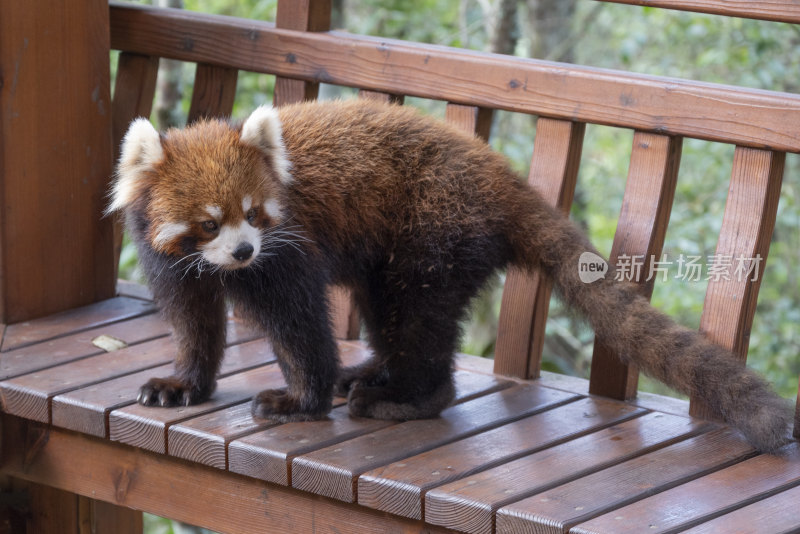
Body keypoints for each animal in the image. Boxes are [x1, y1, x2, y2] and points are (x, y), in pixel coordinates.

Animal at [109, 99, 792, 452]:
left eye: (253, 214)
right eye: (209, 224)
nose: (246, 251)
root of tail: (500, 172)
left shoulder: (289, 247)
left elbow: (301, 326)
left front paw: (298, 399)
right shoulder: (173, 259)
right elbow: (193, 320)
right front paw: (182, 384)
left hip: (434, 228)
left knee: (416, 319)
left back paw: (405, 398)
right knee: (389, 310)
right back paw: (371, 373)